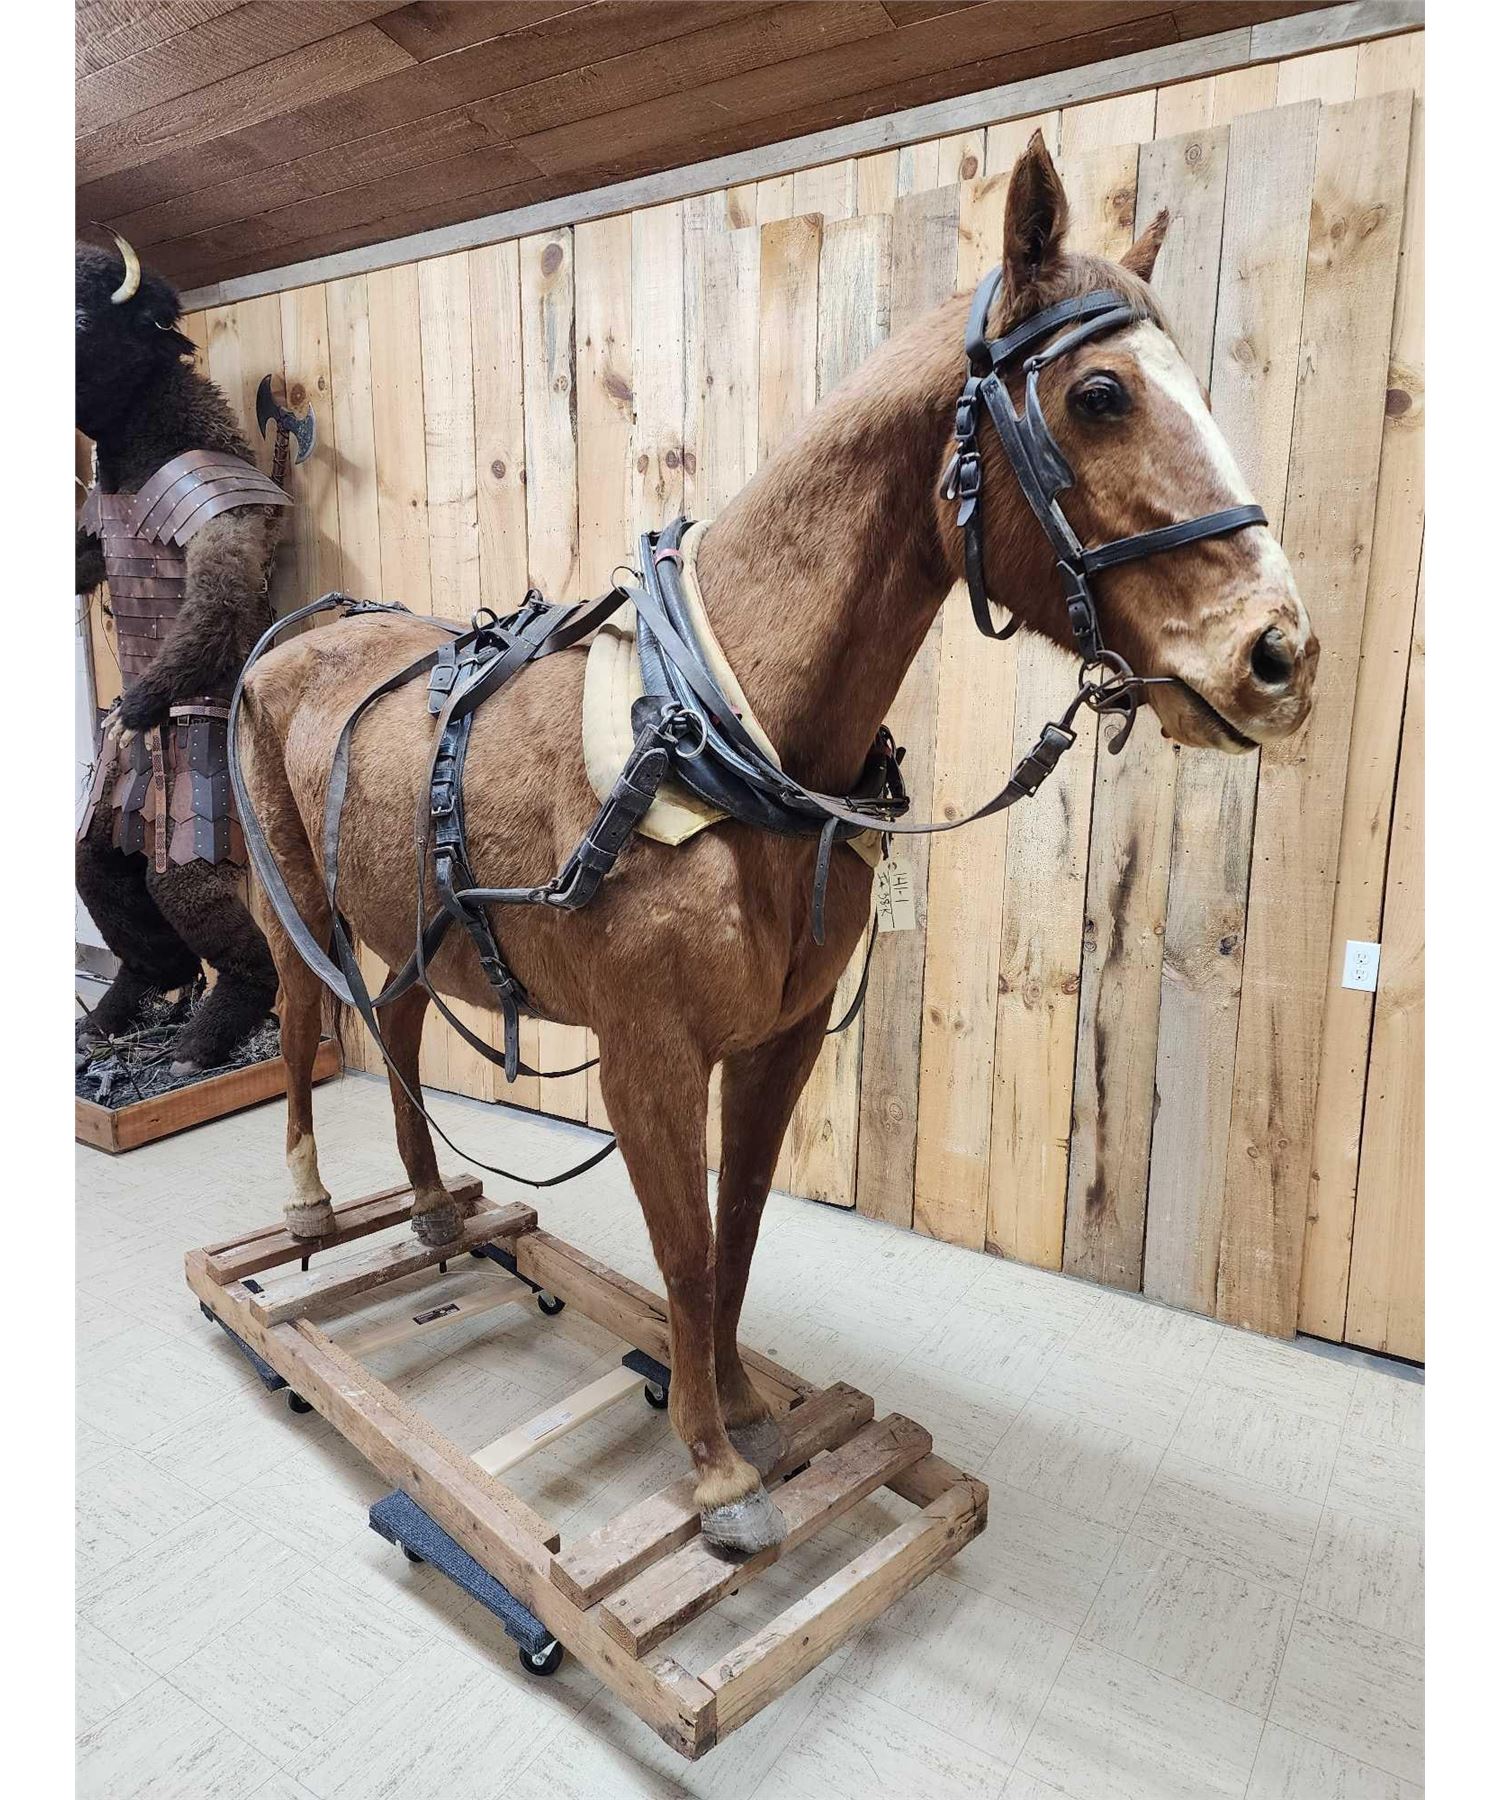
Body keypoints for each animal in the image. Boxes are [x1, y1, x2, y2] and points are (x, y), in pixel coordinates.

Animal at [236, 134, 1317, 1556]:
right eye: (1099, 393)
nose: (1278, 656)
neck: (715, 733)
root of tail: (301, 637)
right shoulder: (647, 1054)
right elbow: (686, 1247)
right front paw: (714, 1473)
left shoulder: (782, 1038)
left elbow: (739, 1221)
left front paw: (750, 1409)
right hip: (294, 907)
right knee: (307, 1027)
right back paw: (309, 1208)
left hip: (412, 927)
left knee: (403, 1032)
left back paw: (424, 1207)